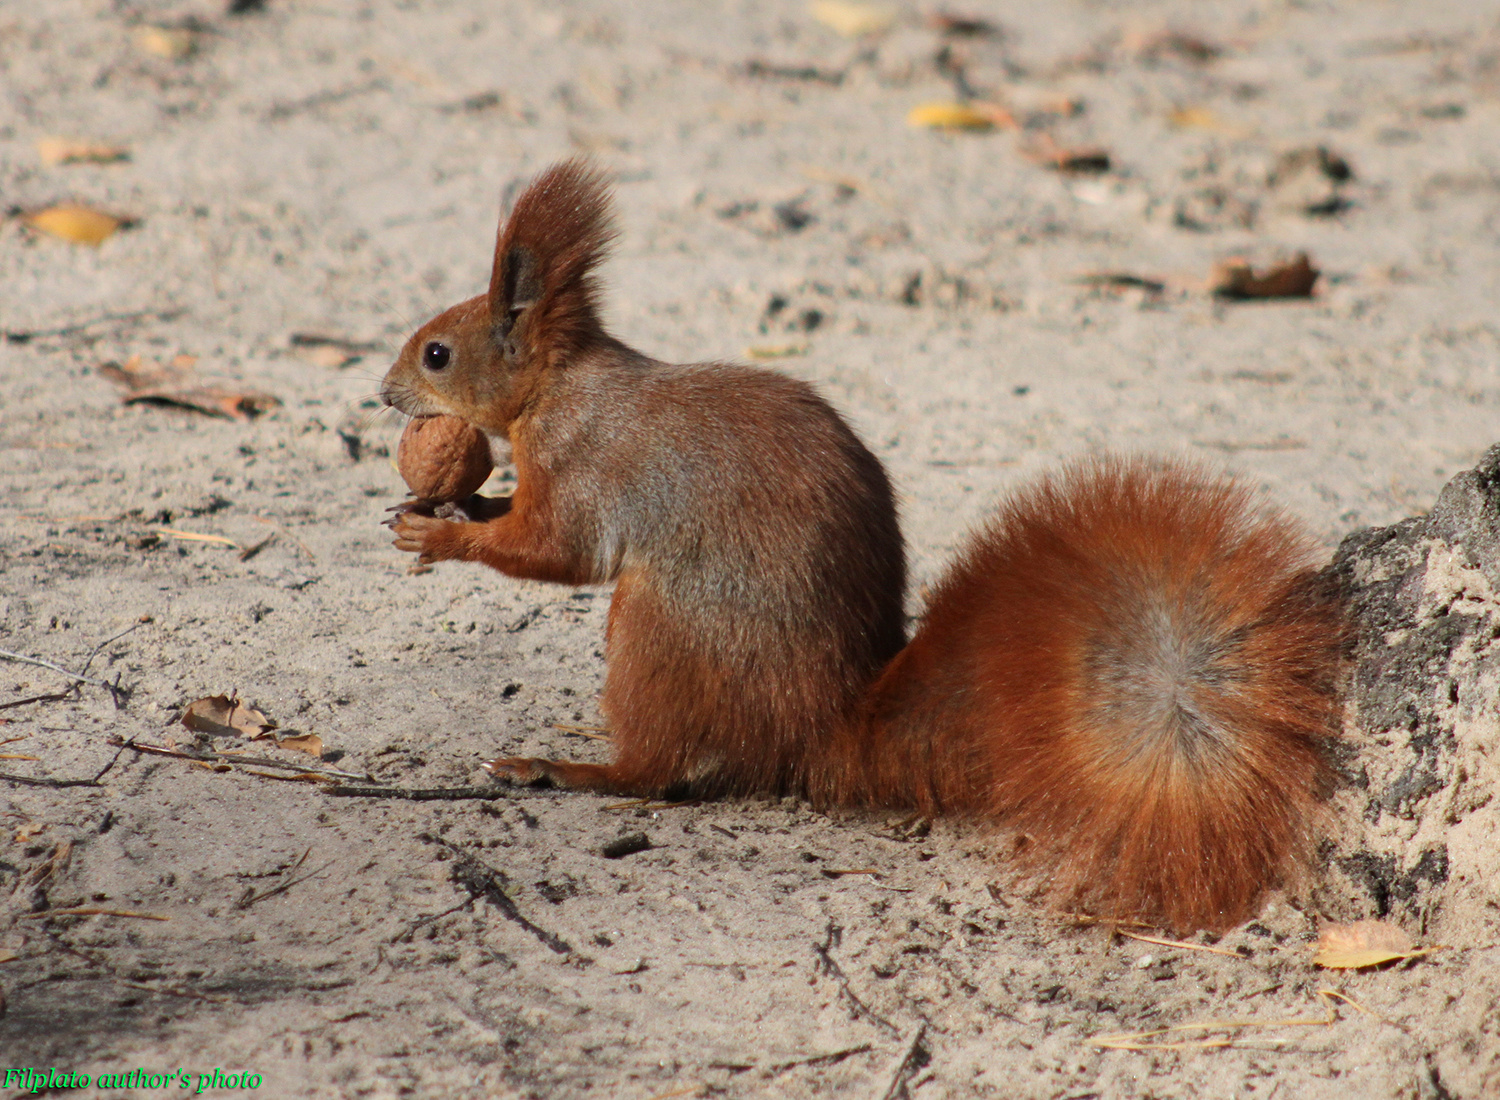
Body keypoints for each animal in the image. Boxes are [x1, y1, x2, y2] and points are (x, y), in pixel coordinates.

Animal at [380, 160, 1346, 934]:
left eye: (436, 353)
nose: (382, 393)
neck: (558, 386)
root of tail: (820, 725)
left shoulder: (585, 469)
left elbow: (553, 552)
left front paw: (440, 532)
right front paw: (457, 498)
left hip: (656, 629)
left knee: (655, 773)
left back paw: (562, 767)